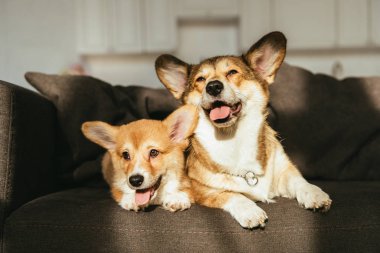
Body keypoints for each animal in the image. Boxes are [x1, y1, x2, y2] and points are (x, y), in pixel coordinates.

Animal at [156, 32, 332, 229]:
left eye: (232, 72)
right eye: (200, 80)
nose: (213, 86)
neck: (232, 138)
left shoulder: (285, 171)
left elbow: (300, 181)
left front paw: (315, 193)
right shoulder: (204, 190)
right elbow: (232, 194)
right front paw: (251, 211)